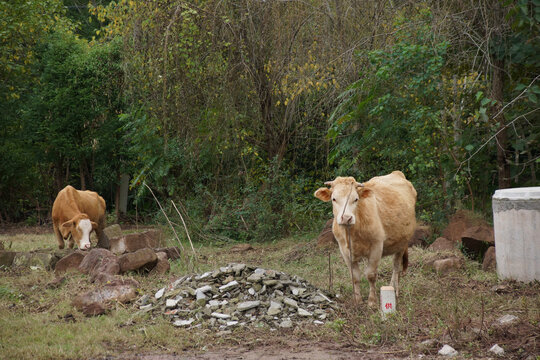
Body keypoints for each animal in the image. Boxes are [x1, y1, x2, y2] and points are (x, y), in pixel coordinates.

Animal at [314, 171, 416, 306]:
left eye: (356, 199)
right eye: (334, 199)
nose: (346, 218)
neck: (352, 234)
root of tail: (397, 173)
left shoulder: (377, 246)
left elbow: (371, 275)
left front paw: (372, 301)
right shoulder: (344, 250)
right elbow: (355, 276)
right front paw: (357, 300)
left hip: (402, 242)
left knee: (396, 266)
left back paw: (394, 289)